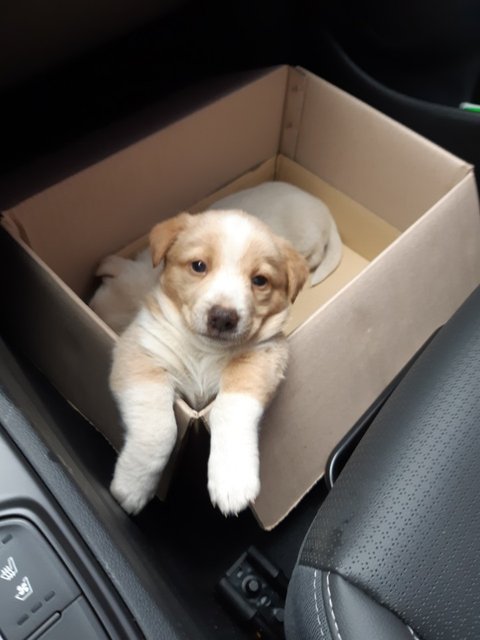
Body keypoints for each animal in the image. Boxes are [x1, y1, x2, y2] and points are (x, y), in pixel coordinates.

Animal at [90, 209, 309, 516]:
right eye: (198, 266)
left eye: (260, 280)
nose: (223, 317)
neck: (205, 352)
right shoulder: (140, 352)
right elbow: (159, 429)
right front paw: (133, 485)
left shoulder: (262, 358)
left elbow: (231, 411)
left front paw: (232, 481)